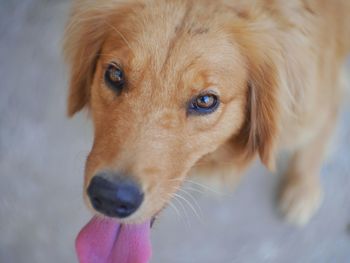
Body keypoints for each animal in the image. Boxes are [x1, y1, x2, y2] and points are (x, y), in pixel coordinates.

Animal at [63, 1, 350, 262]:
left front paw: (303, 189)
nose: (110, 198)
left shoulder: (316, 105)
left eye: (205, 101)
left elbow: (317, 140)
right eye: (114, 75)